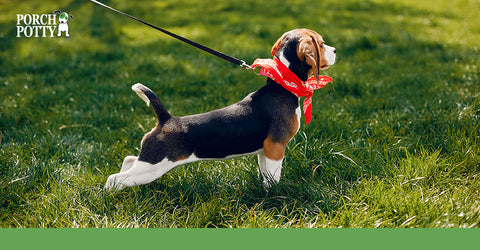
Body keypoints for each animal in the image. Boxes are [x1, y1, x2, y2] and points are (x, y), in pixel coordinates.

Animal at [105, 28, 336, 189]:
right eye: (321, 44)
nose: (335, 50)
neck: (281, 84)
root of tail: (166, 119)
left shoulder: (265, 150)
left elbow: (265, 174)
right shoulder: (275, 148)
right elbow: (273, 177)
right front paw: (275, 195)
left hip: (148, 163)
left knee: (128, 160)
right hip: (152, 167)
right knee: (114, 179)